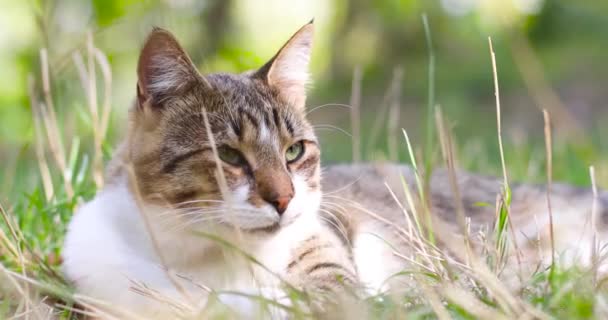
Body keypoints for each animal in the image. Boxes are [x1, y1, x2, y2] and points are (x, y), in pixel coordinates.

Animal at [61, 21, 608, 318]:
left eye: (294, 151)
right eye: (230, 156)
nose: (283, 199)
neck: (211, 259)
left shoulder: (328, 242)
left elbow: (329, 290)